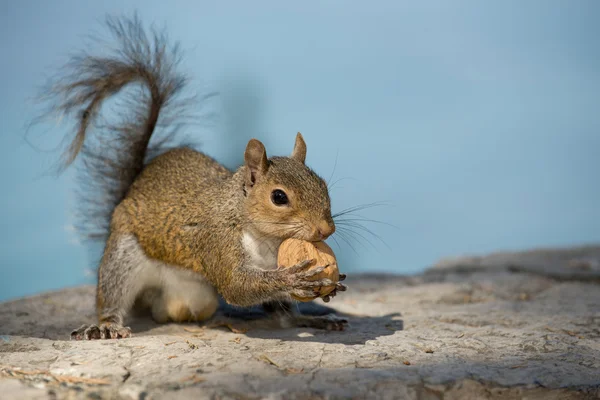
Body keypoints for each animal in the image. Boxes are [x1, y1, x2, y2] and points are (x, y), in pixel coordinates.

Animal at [38, 16, 346, 340]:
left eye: (322, 184)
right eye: (278, 197)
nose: (326, 229)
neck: (266, 238)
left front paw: (329, 288)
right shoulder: (216, 240)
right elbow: (236, 286)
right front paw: (293, 279)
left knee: (282, 317)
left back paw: (310, 320)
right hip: (123, 255)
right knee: (112, 293)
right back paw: (107, 325)